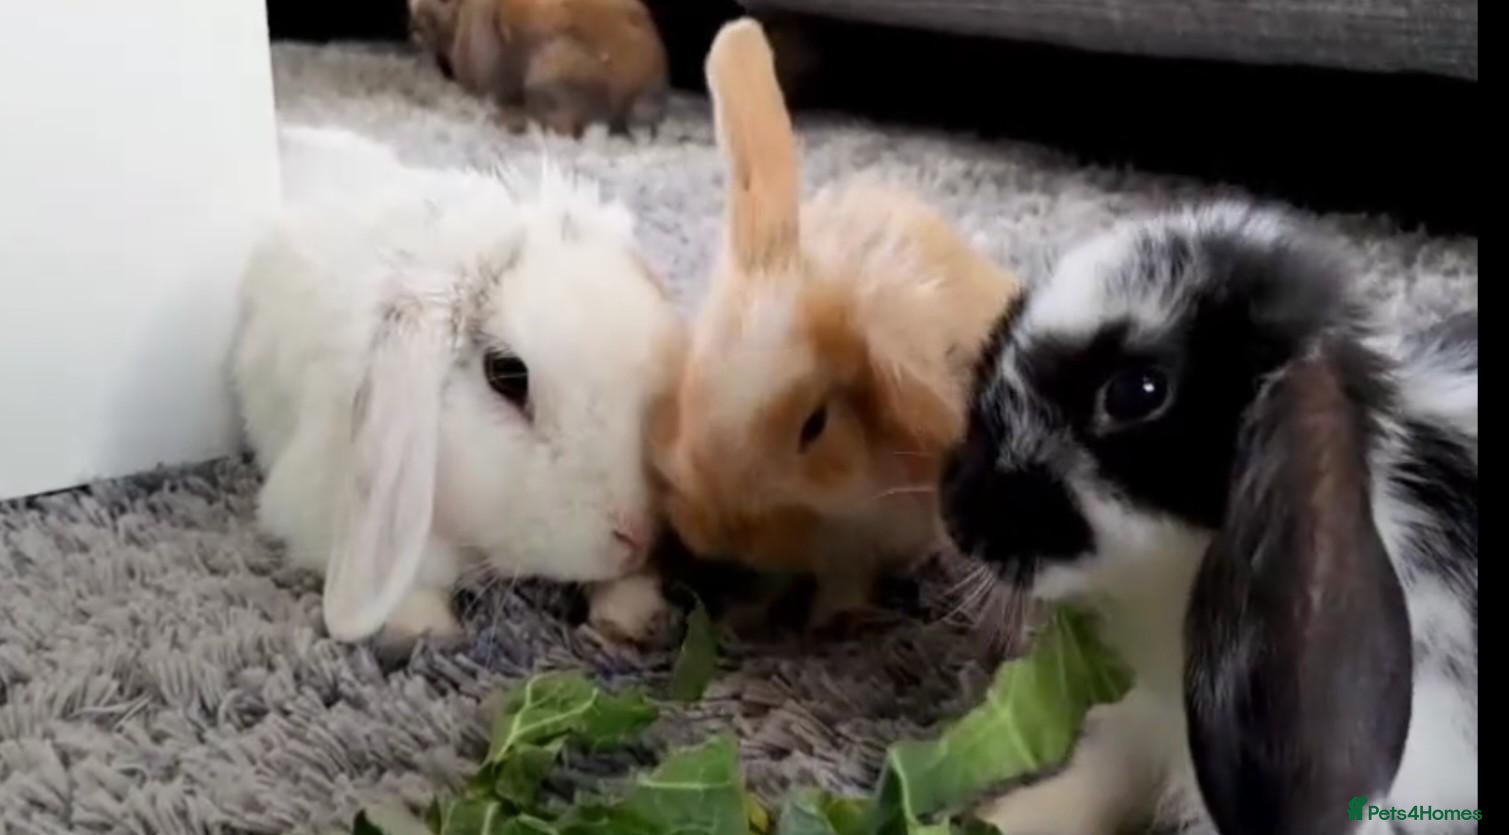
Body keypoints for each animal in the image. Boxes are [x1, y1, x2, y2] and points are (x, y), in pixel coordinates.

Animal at [649, 19, 1023, 630]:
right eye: (692, 380)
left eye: (815, 425)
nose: (717, 532)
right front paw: (745, 614)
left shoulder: (868, 539)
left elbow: (844, 583)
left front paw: (827, 622)